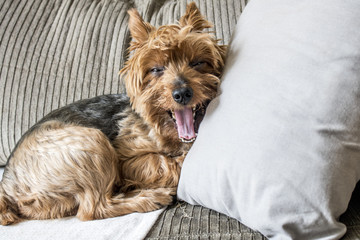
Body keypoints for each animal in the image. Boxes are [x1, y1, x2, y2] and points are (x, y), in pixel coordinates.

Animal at [0, 2, 225, 225]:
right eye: (156, 69)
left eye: (197, 62)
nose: (182, 93)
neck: (167, 132)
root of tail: (8, 186)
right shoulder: (126, 161)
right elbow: (162, 162)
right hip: (90, 143)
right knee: (94, 208)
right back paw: (150, 197)